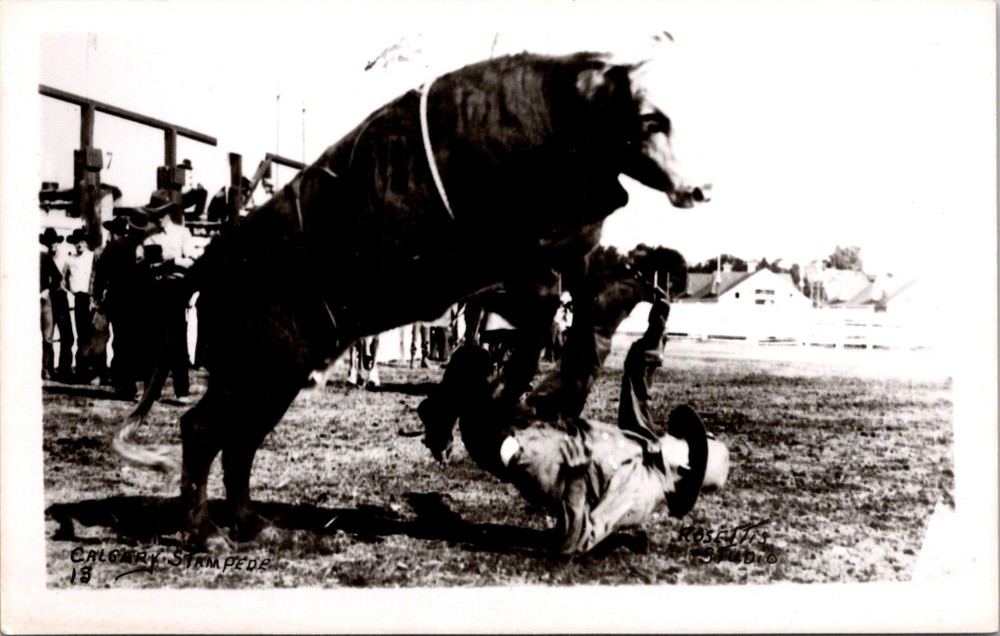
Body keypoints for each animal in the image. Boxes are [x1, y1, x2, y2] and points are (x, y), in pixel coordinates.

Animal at [112, 44, 711, 549]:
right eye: (650, 120)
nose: (699, 188)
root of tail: (208, 263)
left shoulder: (542, 264)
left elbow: (572, 310)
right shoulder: (502, 268)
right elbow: (539, 311)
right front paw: (496, 398)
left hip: (272, 376)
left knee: (239, 441)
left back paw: (251, 523)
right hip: (257, 366)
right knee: (202, 430)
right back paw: (205, 532)